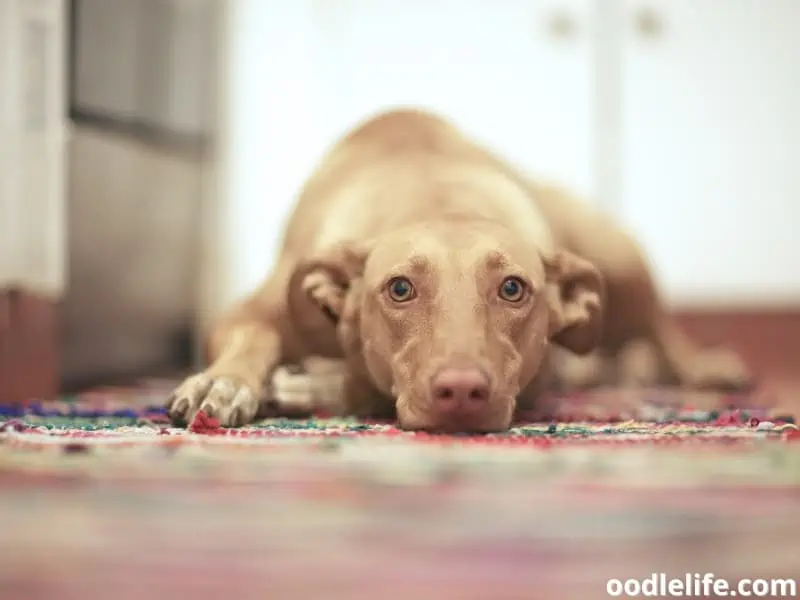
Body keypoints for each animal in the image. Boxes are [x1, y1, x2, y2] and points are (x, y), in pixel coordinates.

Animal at [164, 108, 752, 434]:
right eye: (400, 288)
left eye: (513, 288)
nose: (463, 392)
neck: (437, 196)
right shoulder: (249, 311)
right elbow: (253, 338)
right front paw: (225, 380)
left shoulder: (538, 376)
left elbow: (364, 383)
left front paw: (319, 386)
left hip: (620, 265)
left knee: (659, 328)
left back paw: (703, 366)